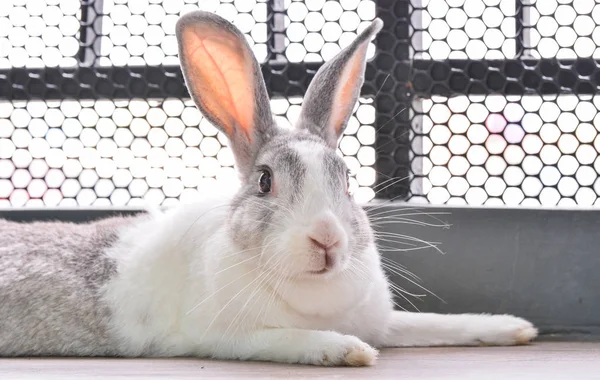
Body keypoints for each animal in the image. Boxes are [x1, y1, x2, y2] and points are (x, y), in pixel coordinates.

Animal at [0, 11, 536, 366]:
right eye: (264, 181)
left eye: (345, 179)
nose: (327, 239)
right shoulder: (222, 336)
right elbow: (288, 340)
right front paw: (348, 350)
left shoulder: (385, 320)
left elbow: (434, 323)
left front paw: (513, 328)